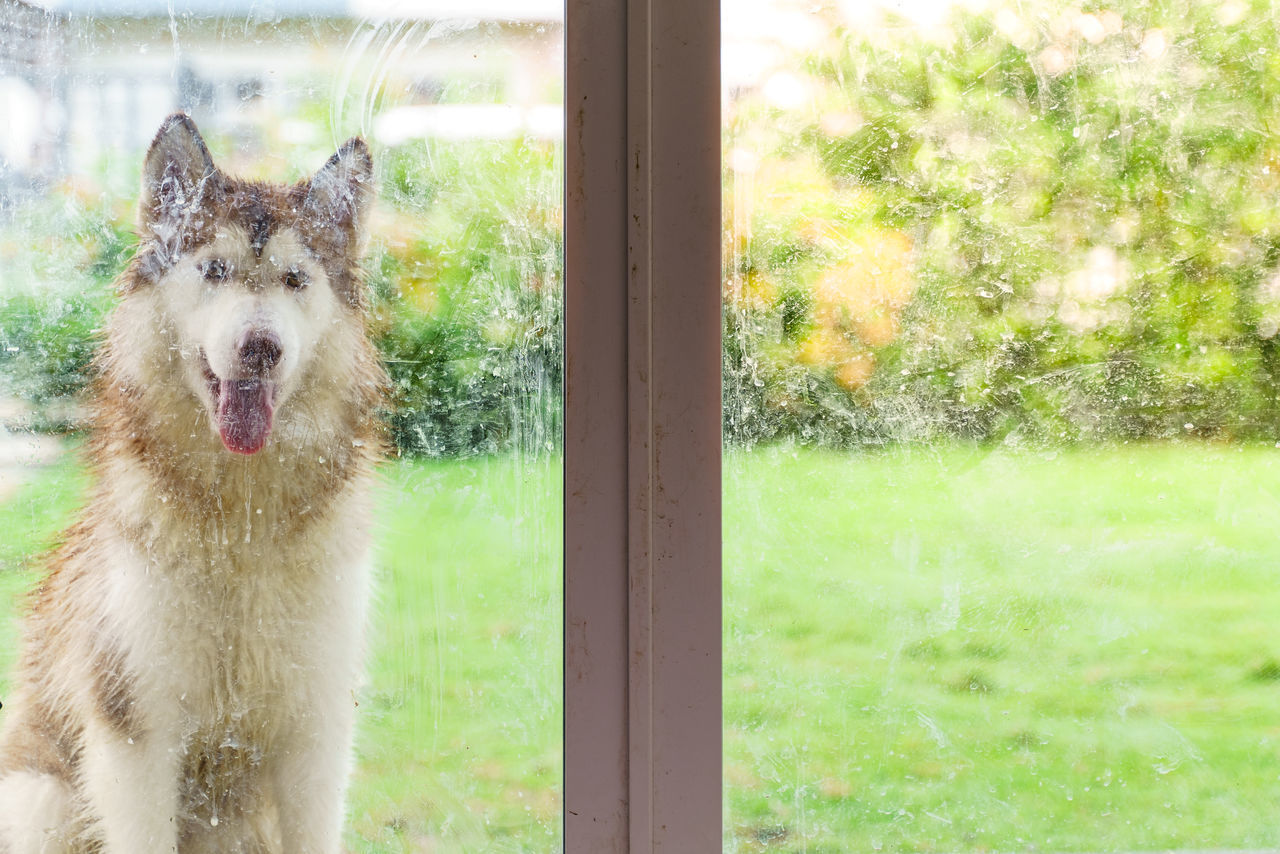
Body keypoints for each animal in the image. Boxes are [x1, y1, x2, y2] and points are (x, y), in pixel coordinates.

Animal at [0, 115, 384, 854]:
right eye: (214, 270)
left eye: (295, 278)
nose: (261, 347)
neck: (243, 520)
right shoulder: (135, 736)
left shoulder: (316, 730)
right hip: (44, 799)